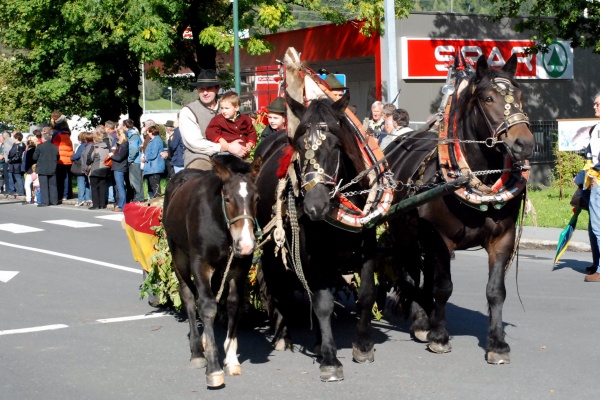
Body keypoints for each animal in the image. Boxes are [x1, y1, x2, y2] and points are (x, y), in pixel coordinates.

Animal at [161, 153, 262, 388]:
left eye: (256, 198)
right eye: (228, 199)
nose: (246, 244)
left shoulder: (238, 266)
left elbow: (233, 304)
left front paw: (231, 359)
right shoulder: (201, 264)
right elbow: (206, 307)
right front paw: (214, 368)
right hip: (178, 254)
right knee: (189, 297)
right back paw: (198, 352)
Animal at [254, 92, 380, 382]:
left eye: (335, 145)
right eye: (299, 147)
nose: (314, 206)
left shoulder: (368, 247)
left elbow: (367, 294)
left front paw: (363, 346)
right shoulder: (314, 256)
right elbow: (322, 304)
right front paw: (330, 360)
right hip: (271, 249)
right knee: (277, 286)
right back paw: (283, 334)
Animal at [382, 54, 536, 366]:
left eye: (521, 96)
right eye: (488, 98)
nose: (524, 144)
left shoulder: (502, 239)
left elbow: (495, 291)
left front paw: (497, 343)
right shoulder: (440, 238)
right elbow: (444, 287)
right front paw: (439, 336)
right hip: (404, 233)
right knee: (409, 271)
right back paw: (421, 320)